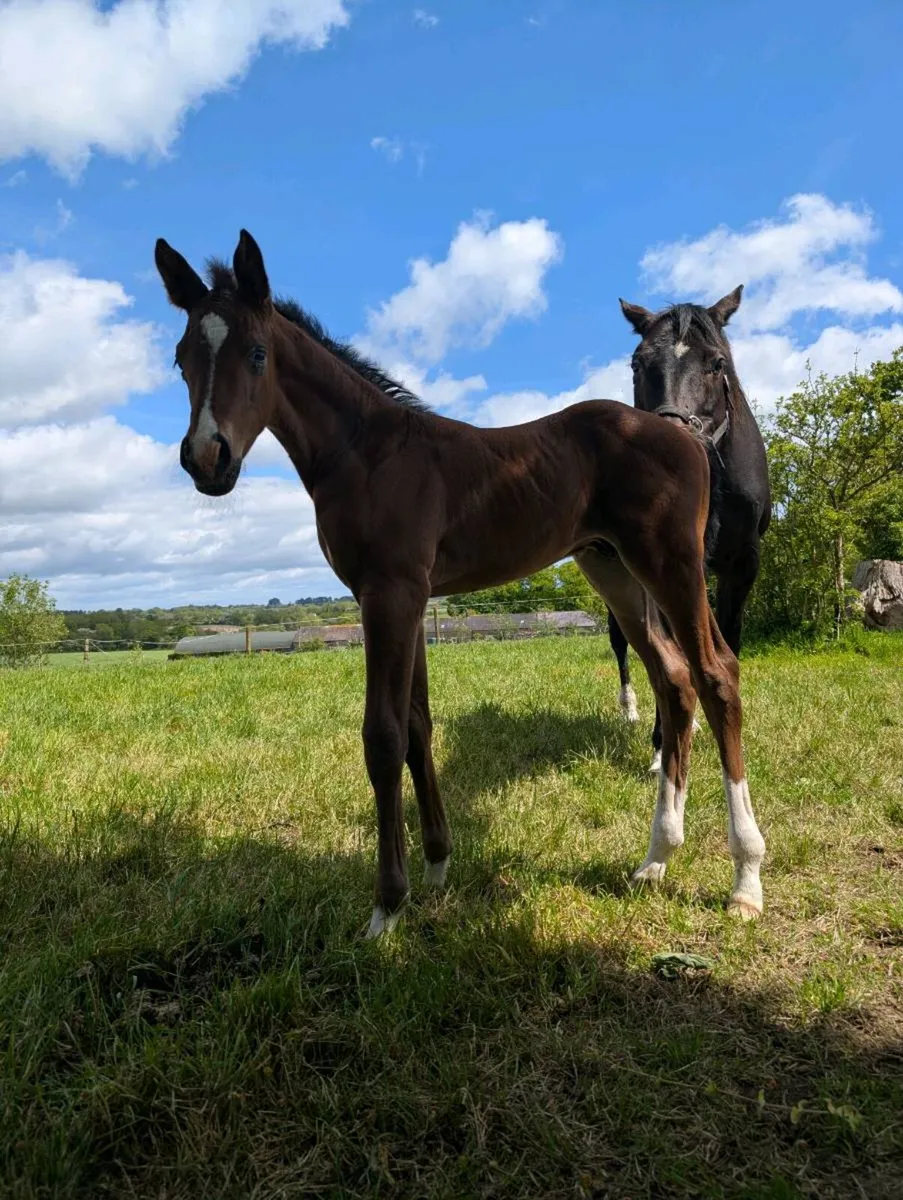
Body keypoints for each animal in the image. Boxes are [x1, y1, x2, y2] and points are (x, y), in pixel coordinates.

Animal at [607, 290, 772, 772]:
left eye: (718, 363)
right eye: (637, 363)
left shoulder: (742, 564)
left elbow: (727, 640)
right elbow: (668, 654)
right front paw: (663, 744)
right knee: (622, 643)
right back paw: (630, 709)